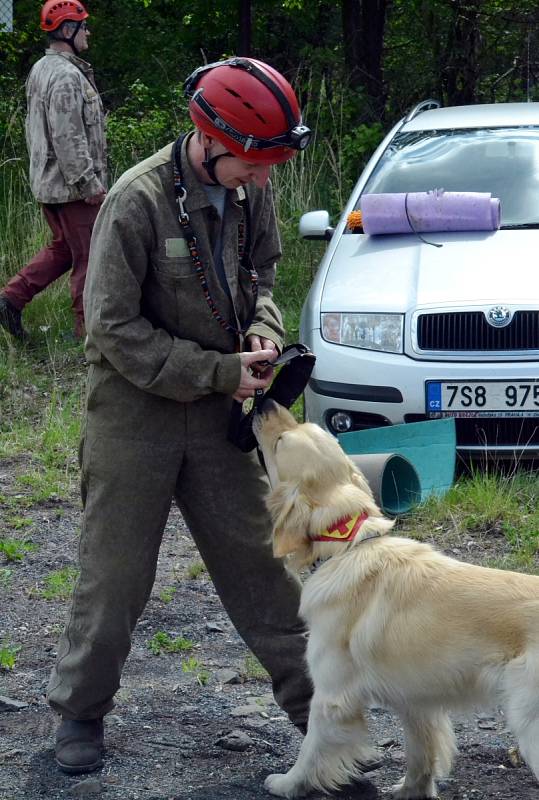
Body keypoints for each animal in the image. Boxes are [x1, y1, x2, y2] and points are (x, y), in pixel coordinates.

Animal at [253, 404, 539, 796]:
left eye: (281, 441)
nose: (263, 404)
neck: (348, 546)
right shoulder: (416, 701)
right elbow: (421, 755)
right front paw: (410, 791)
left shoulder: (331, 696)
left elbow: (311, 747)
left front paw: (288, 783)